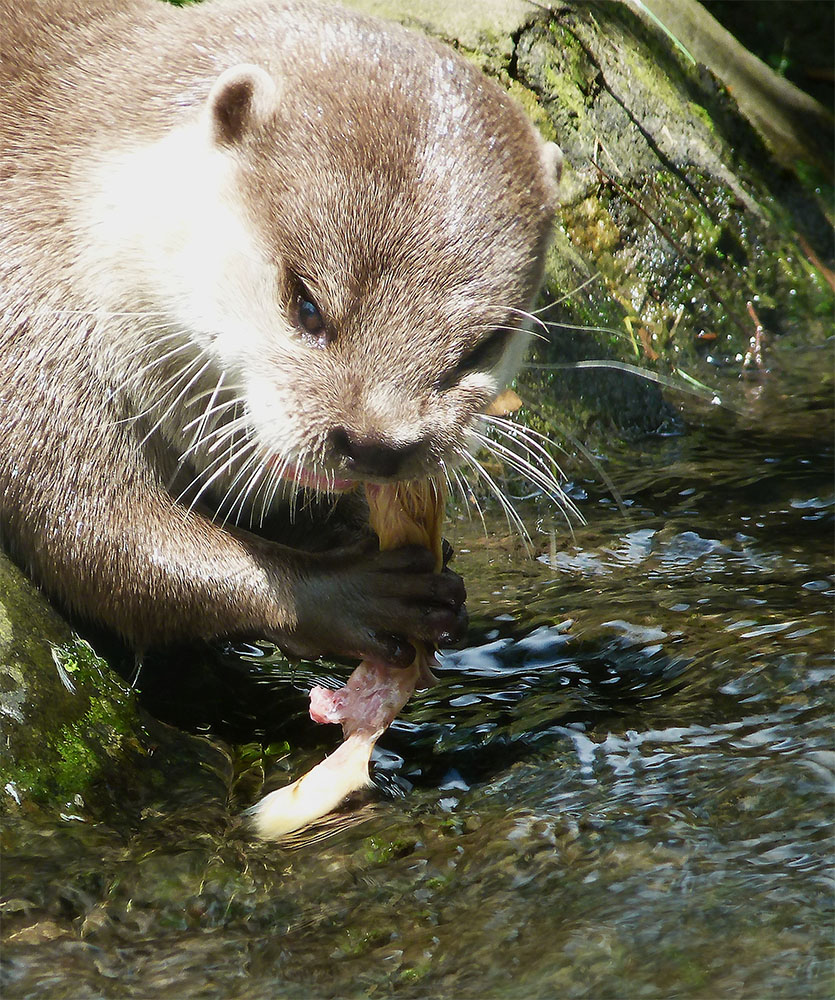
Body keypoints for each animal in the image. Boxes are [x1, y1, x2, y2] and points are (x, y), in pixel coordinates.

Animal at [0, 0, 560, 668]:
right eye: (306, 305)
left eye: (484, 345)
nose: (377, 444)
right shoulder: (32, 323)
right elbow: (104, 539)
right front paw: (346, 594)